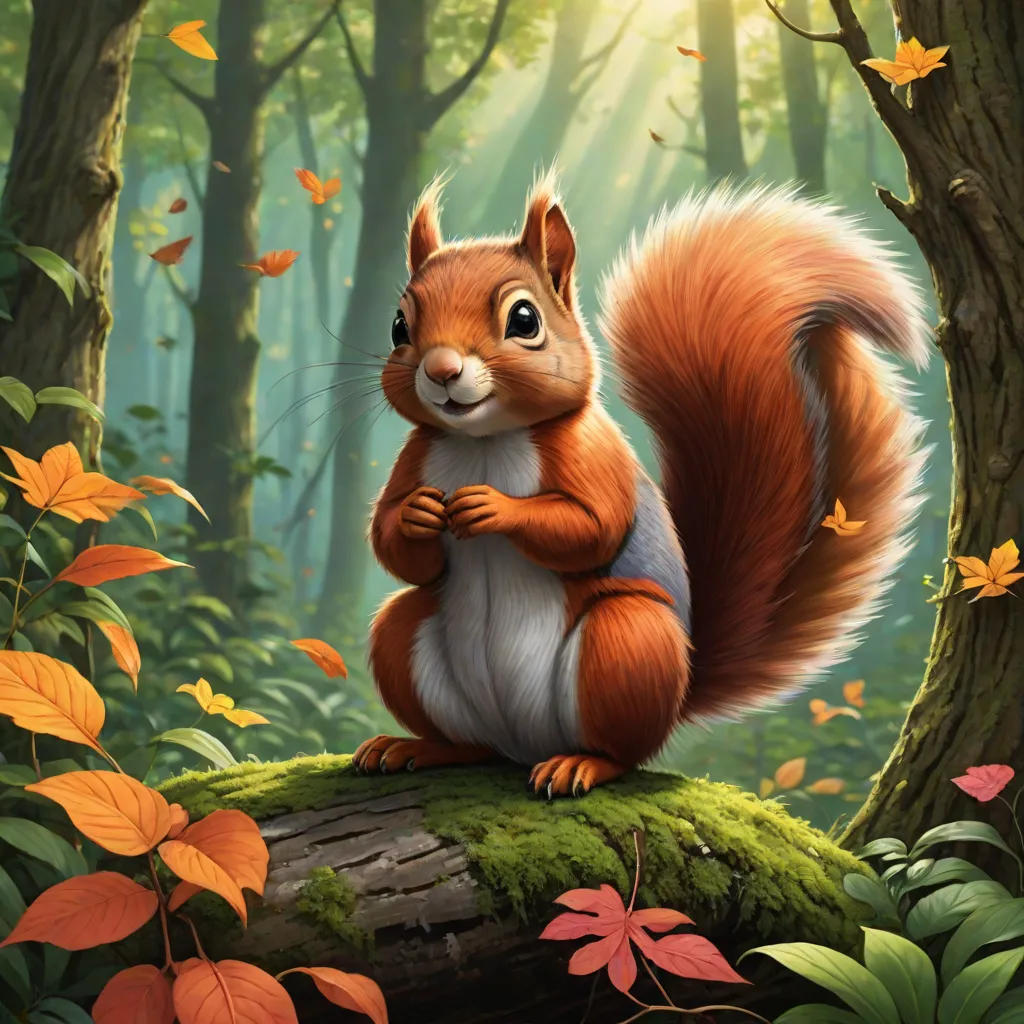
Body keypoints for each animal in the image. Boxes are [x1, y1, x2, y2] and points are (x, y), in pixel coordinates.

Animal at [354, 174, 928, 798]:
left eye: (525, 320)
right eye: (398, 326)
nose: (440, 371)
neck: (484, 440)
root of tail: (521, 742)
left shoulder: (595, 455)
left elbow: (591, 529)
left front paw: (493, 507)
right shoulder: (417, 457)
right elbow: (393, 545)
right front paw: (416, 516)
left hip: (629, 642)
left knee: (624, 750)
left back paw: (581, 765)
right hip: (404, 637)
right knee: (461, 726)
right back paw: (415, 746)